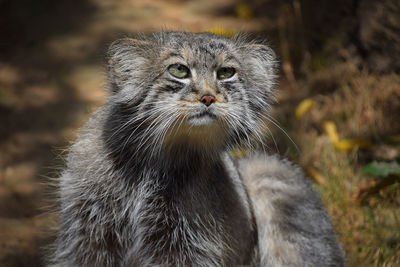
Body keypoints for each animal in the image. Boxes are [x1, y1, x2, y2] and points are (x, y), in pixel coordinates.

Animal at [52, 32, 346, 266]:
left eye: (226, 72)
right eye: (179, 70)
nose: (208, 97)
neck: (155, 161)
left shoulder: (184, 246)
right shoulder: (88, 234)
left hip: (265, 168)